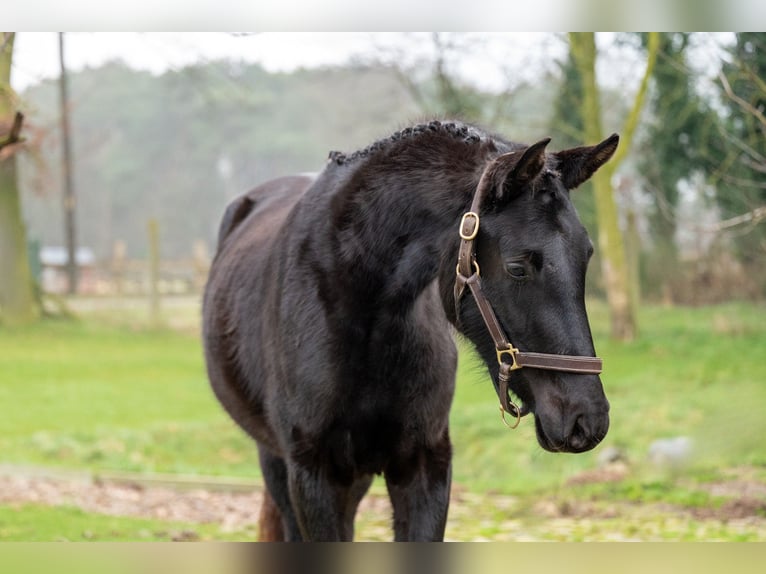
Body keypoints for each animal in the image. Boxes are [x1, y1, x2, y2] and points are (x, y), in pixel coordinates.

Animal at [202, 119, 616, 544]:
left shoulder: (424, 466)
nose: (587, 420)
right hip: (277, 464)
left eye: (586, 255)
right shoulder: (313, 474)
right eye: (518, 267)